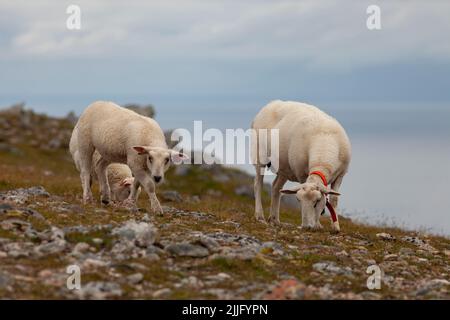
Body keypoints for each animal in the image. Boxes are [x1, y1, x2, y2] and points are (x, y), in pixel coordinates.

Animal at [250, 99, 352, 231]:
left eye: (317, 201)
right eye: (298, 200)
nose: (306, 227)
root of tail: (271, 103)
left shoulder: (340, 175)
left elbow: (334, 199)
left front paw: (335, 227)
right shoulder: (302, 173)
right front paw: (317, 225)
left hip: (284, 167)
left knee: (276, 187)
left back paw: (275, 220)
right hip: (259, 155)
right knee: (258, 184)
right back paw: (259, 216)